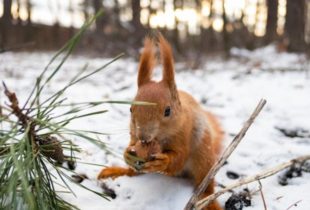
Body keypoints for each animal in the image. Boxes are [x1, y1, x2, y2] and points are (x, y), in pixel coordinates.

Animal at [99, 32, 223, 210]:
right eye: (130, 109)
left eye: (167, 110)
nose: (143, 136)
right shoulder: (133, 134)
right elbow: (132, 145)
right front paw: (128, 153)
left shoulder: (184, 133)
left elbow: (179, 156)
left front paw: (162, 163)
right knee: (132, 172)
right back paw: (117, 171)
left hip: (203, 156)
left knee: (206, 182)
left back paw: (208, 200)